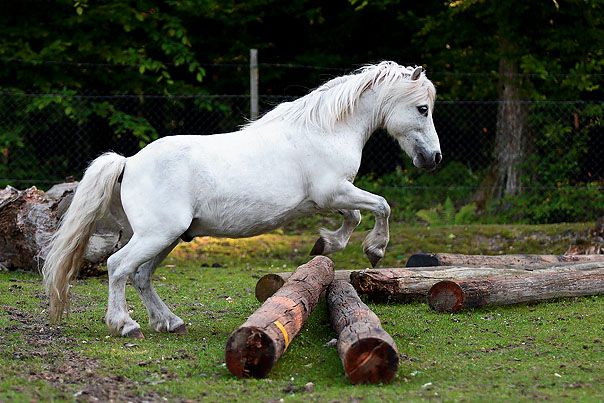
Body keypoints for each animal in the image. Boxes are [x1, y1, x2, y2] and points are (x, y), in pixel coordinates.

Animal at [41, 61, 438, 338]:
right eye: (423, 109)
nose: (433, 158)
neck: (324, 131)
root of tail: (129, 162)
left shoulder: (329, 197)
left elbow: (354, 216)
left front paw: (326, 243)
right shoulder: (333, 191)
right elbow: (381, 205)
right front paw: (374, 249)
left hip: (167, 239)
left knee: (141, 275)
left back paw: (170, 322)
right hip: (156, 235)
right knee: (118, 267)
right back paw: (125, 325)